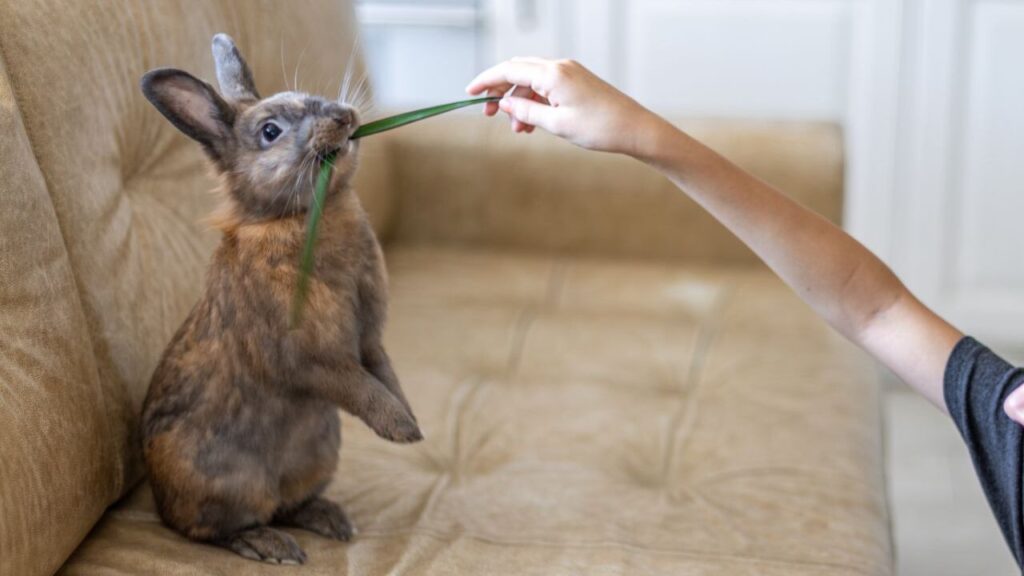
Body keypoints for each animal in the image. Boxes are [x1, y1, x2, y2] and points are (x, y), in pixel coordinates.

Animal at [138, 34, 421, 565]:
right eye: (270, 131)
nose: (343, 116)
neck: (293, 217)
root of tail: (159, 502)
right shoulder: (312, 359)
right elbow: (360, 387)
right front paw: (402, 430)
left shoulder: (369, 340)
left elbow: (385, 373)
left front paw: (411, 419)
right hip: (225, 485)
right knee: (214, 529)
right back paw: (271, 545)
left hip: (319, 455)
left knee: (290, 504)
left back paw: (330, 519)